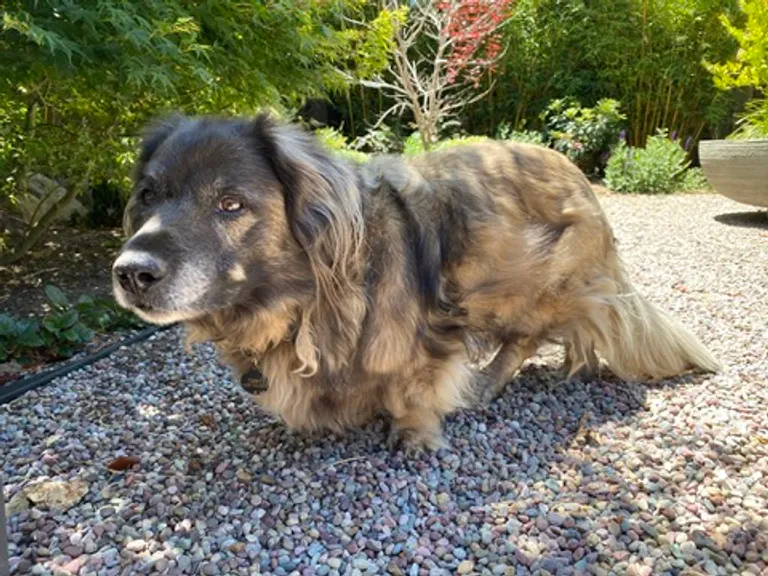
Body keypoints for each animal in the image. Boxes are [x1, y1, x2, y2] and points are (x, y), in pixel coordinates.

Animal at [112, 112, 720, 452]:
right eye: (148, 194)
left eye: (230, 203)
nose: (130, 272)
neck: (302, 299)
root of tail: (579, 175)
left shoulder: (427, 334)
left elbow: (413, 387)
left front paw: (413, 434)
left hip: (527, 286)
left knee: (524, 339)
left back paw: (488, 382)